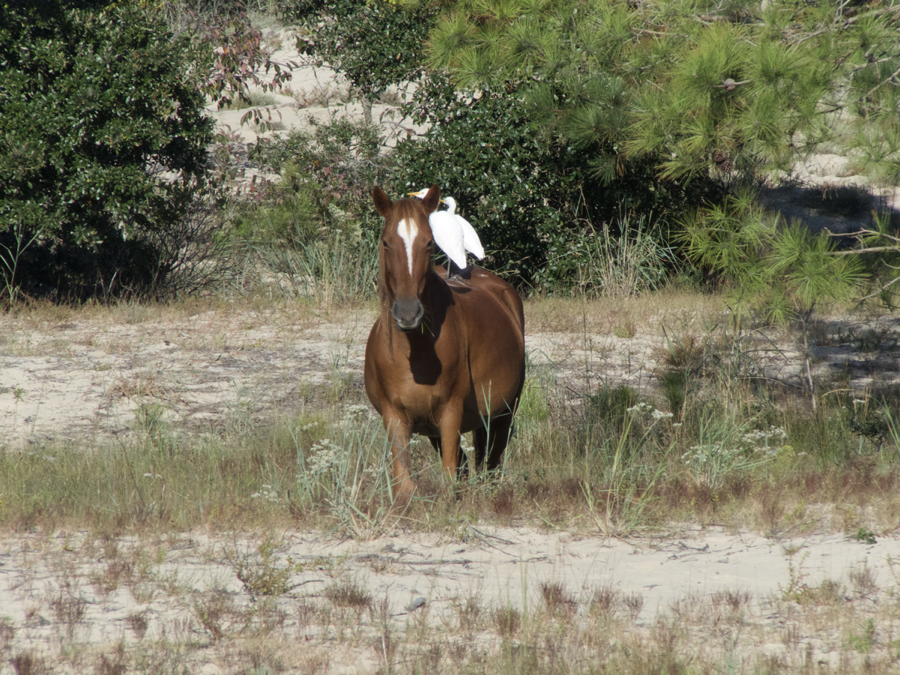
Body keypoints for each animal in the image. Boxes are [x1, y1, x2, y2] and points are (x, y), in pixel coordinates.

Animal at [366, 185, 528, 502]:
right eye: (386, 243)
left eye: (429, 243)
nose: (408, 313)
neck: (414, 354)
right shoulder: (395, 418)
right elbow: (405, 486)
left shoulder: (451, 414)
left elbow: (449, 481)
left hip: (503, 413)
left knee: (490, 463)